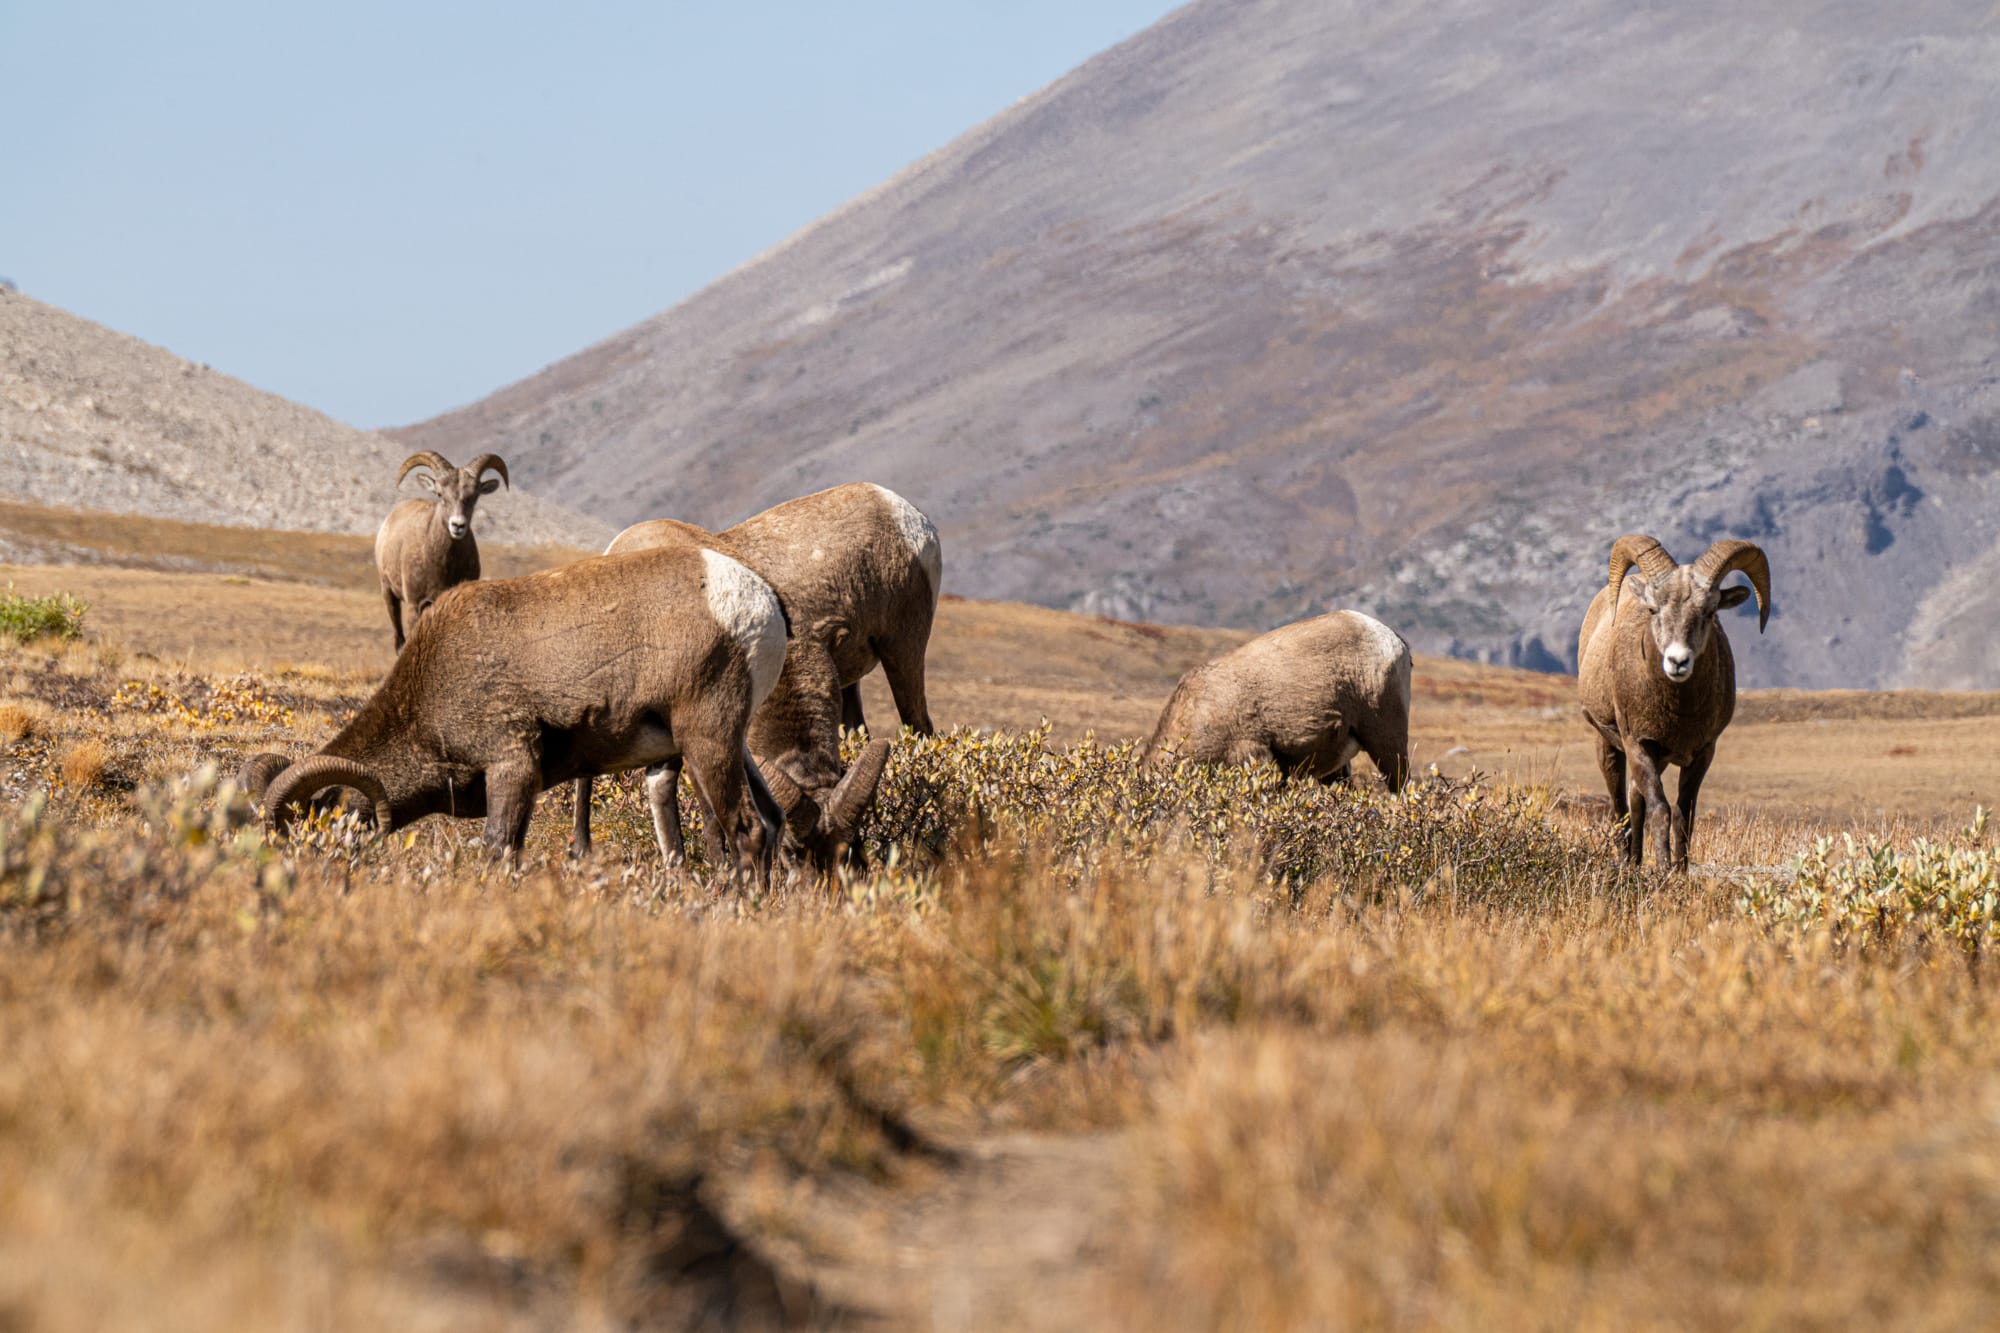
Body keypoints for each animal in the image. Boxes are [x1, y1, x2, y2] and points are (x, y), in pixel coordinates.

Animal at [237, 544, 806, 882]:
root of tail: (761, 600)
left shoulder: (510, 767)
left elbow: (498, 850)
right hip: (734, 744)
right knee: (773, 821)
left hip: (707, 739)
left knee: (747, 832)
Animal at [374, 451, 510, 651]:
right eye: (440, 494)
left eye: (474, 496)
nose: (458, 525)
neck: (442, 566)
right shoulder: (414, 605)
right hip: (389, 594)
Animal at [1576, 534, 1770, 871]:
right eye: (1653, 609)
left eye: (1709, 612)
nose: (1678, 661)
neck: (1679, 712)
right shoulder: (1639, 745)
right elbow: (1660, 809)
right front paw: (1665, 868)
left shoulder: (1702, 753)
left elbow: (1683, 813)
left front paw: (1681, 870)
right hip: (1610, 747)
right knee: (1620, 806)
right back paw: (1628, 863)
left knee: (1634, 799)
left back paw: (1637, 861)